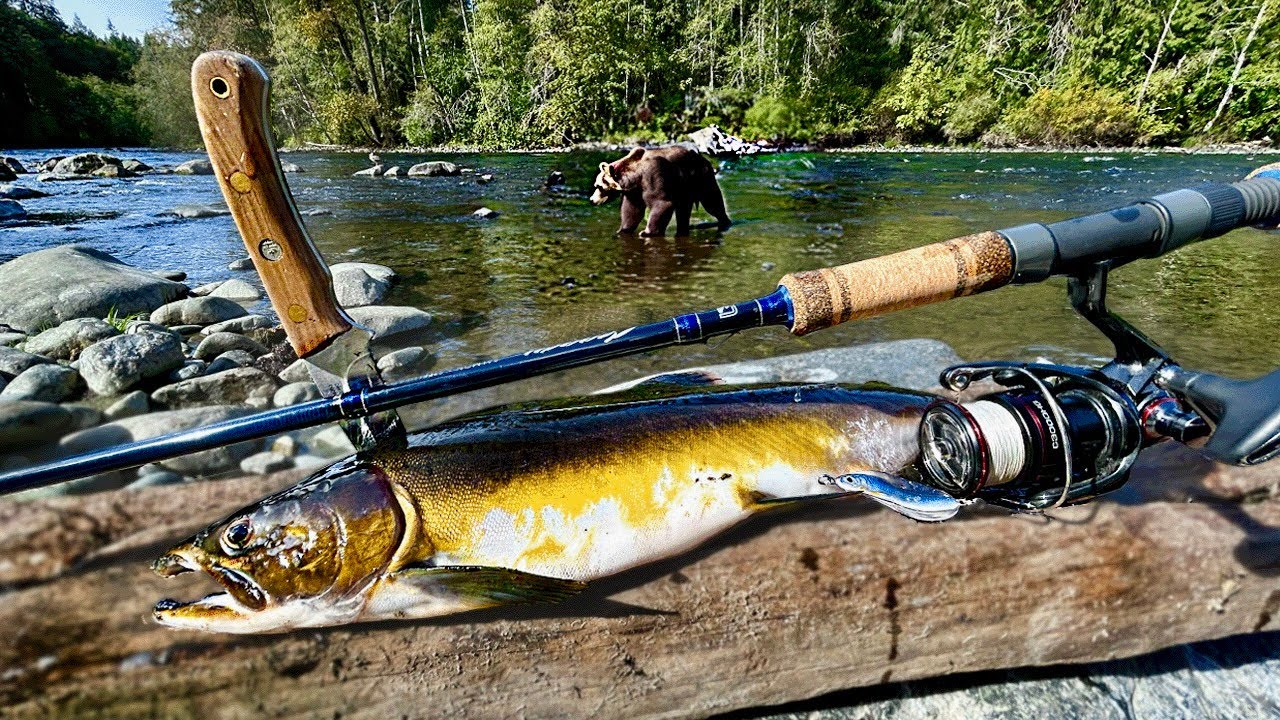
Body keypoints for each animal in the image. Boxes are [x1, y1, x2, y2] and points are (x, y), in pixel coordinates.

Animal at [590, 146, 731, 236]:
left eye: (598, 186)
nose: (592, 200)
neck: (636, 176)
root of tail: (703, 159)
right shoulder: (634, 191)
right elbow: (632, 210)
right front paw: (623, 229)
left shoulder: (653, 175)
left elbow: (661, 203)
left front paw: (647, 232)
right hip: (684, 188)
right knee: (683, 209)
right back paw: (683, 229)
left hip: (701, 177)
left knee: (712, 201)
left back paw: (725, 221)